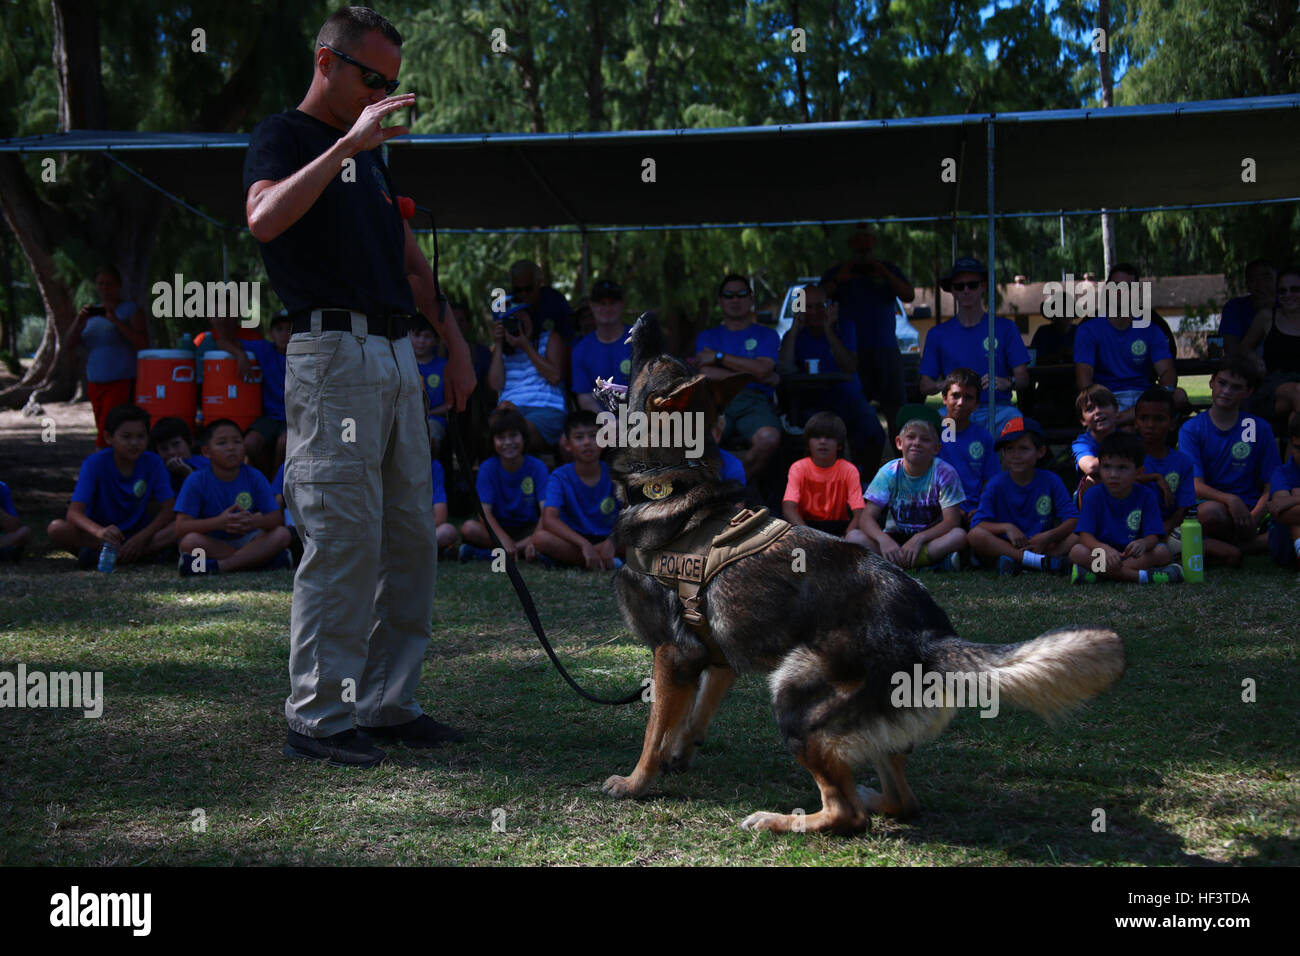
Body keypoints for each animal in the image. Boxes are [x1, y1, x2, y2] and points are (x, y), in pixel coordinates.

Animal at [598, 317, 1128, 832]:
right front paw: (679, 754)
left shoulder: (672, 653)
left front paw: (636, 782)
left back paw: (781, 819)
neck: (671, 481)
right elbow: (691, 718)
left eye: (653, 358)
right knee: (901, 801)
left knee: (846, 813)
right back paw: (868, 794)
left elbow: (653, 729)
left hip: (794, 697)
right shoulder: (714, 658)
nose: (645, 318)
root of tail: (929, 636)